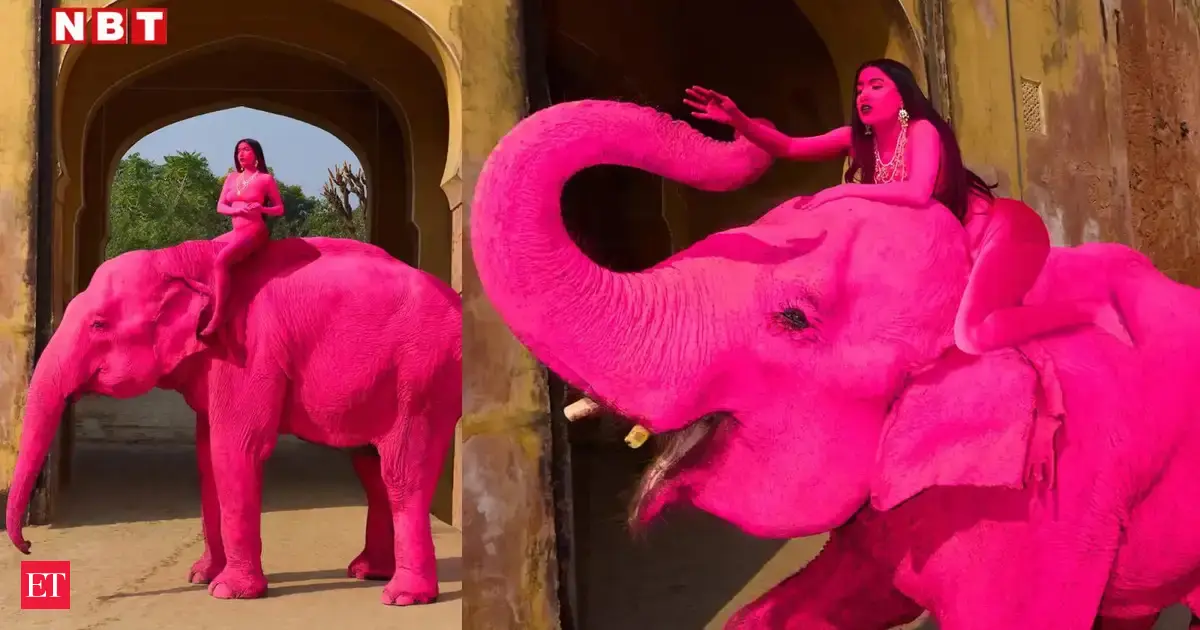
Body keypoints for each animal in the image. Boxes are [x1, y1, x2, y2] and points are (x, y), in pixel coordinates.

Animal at [5, 236, 462, 606]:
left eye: (99, 324)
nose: (28, 546)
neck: (182, 260)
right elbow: (207, 457)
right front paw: (199, 575)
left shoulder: (247, 354)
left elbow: (235, 449)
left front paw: (227, 591)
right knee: (370, 466)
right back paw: (368, 573)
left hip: (422, 377)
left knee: (401, 472)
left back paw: (403, 597)